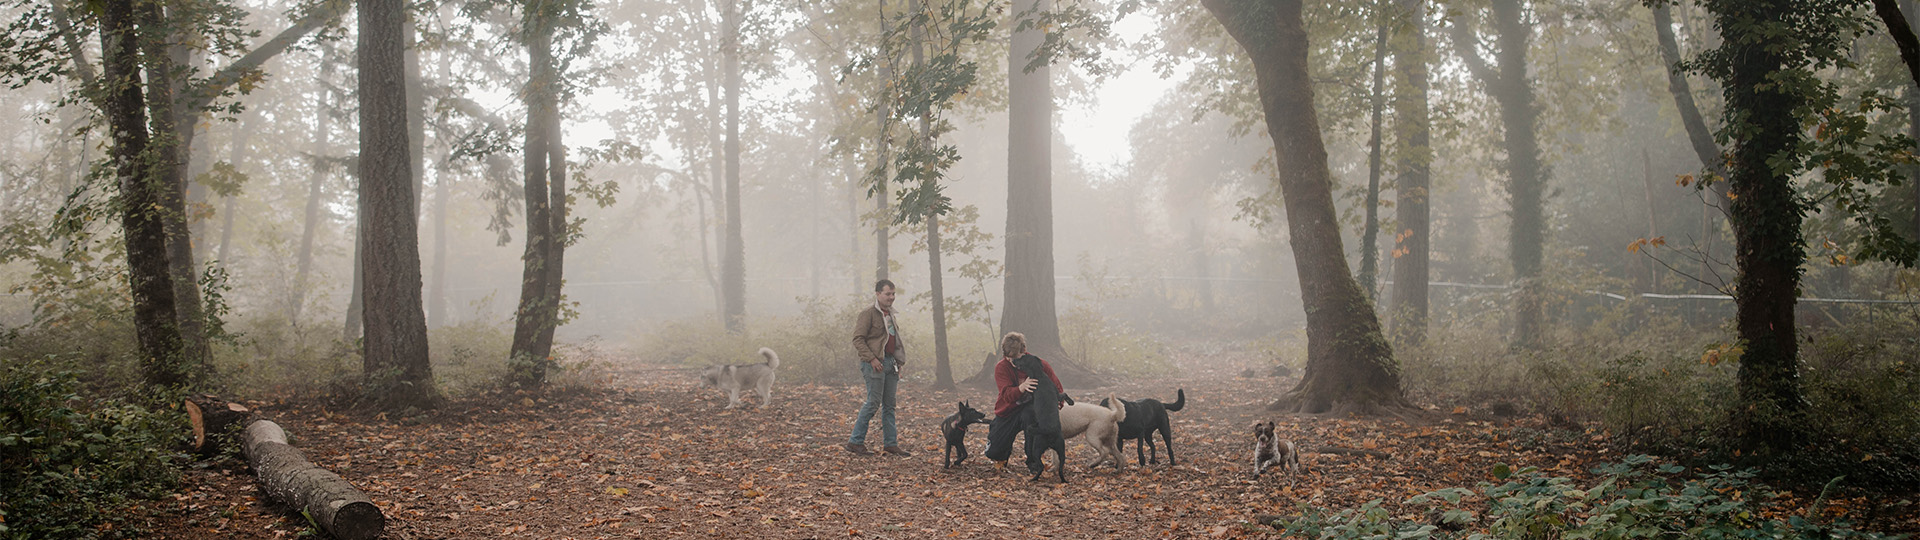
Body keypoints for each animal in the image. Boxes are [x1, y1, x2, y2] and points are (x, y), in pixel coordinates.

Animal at [1013, 351, 1075, 480]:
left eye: (1021, 357)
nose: (1013, 360)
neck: (1039, 375)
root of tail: (1050, 432)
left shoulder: (1031, 393)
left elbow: (1025, 396)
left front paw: (1019, 401)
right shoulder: (1057, 395)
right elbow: (1064, 394)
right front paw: (1071, 402)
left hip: (1037, 448)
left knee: (1041, 466)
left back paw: (1034, 479)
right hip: (1062, 451)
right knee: (1060, 468)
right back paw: (1063, 480)